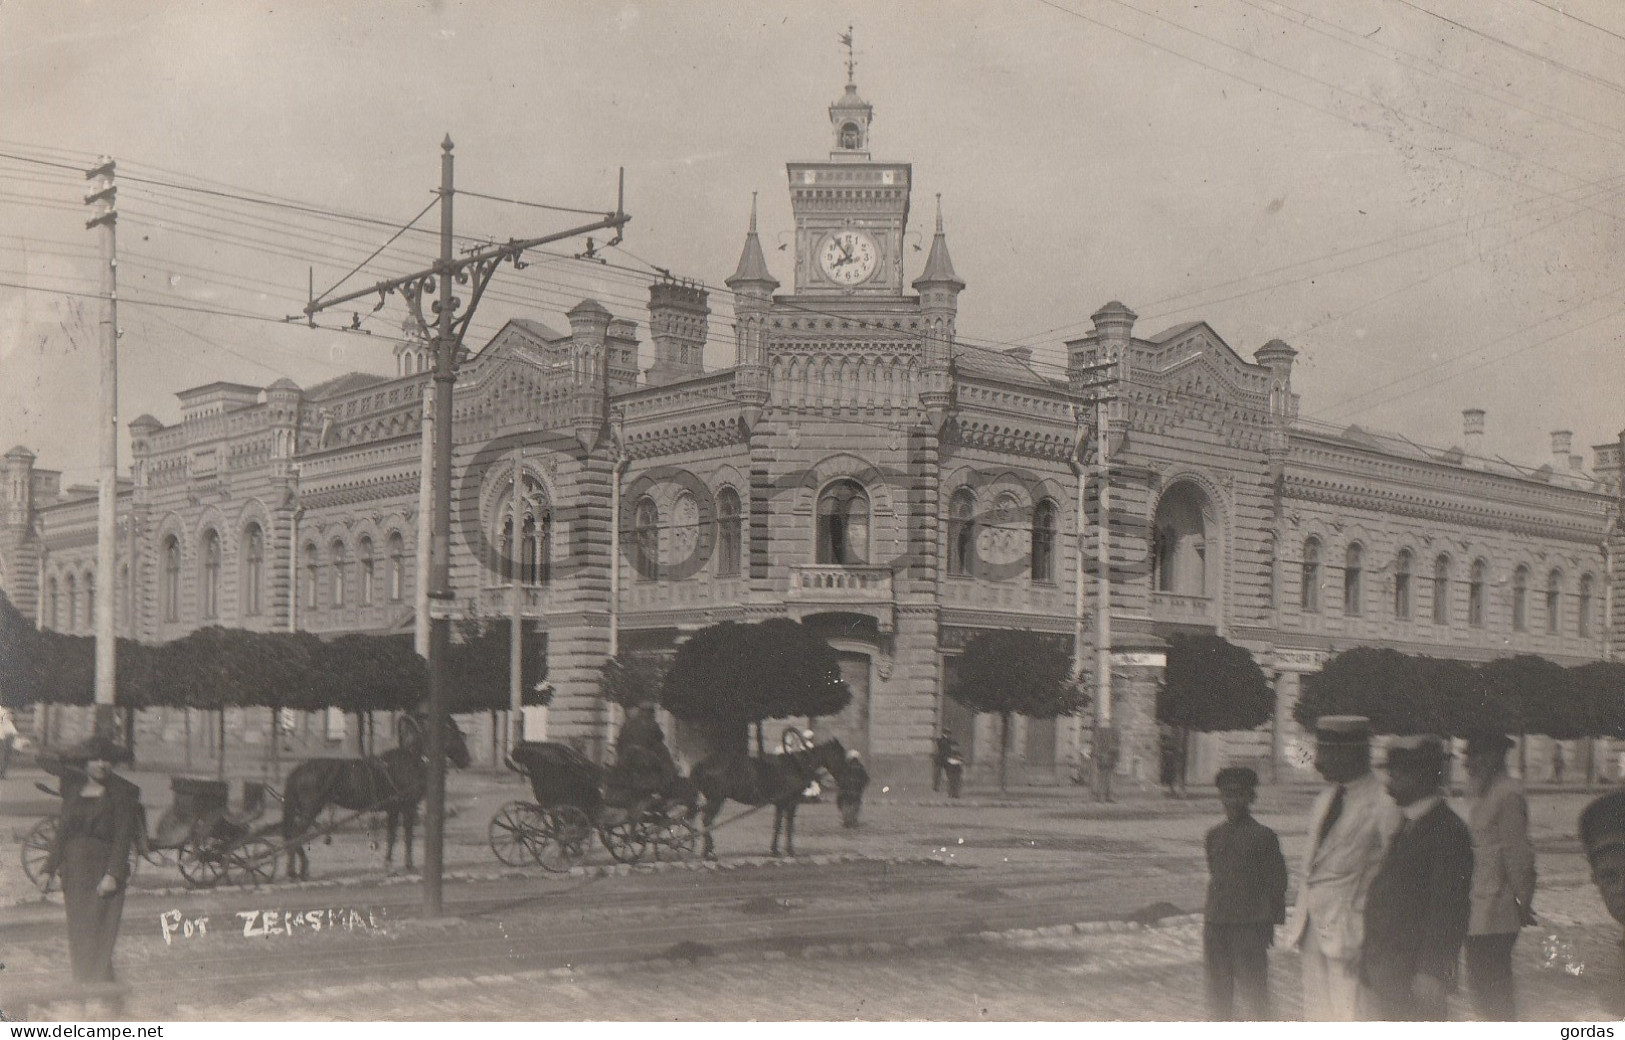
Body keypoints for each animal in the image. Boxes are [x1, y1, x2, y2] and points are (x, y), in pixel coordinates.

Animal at [276, 715, 471, 877]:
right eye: (455, 735)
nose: (467, 761)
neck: (410, 760)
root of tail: (299, 769)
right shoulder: (407, 808)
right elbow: (405, 836)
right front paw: (407, 866)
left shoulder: (394, 809)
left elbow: (392, 836)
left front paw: (390, 865)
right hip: (310, 810)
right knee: (295, 835)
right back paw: (298, 870)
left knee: (292, 835)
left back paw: (294, 870)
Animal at [689, 741, 851, 858]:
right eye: (839, 756)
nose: (845, 780)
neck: (797, 766)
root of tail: (700, 765)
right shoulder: (790, 803)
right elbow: (787, 826)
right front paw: (788, 851)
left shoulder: (781, 803)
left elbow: (778, 825)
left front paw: (775, 850)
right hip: (716, 799)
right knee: (707, 821)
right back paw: (708, 852)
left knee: (706, 821)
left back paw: (707, 850)